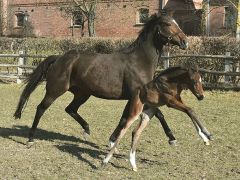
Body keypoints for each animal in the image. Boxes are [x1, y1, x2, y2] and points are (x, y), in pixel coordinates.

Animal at [14, 14, 188, 146]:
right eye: (167, 24)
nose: (185, 42)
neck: (139, 61)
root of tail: (59, 58)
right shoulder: (137, 95)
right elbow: (158, 114)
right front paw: (172, 139)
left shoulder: (133, 97)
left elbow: (125, 117)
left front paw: (112, 140)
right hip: (55, 91)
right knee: (41, 108)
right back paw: (30, 139)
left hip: (82, 94)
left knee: (70, 109)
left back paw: (86, 130)